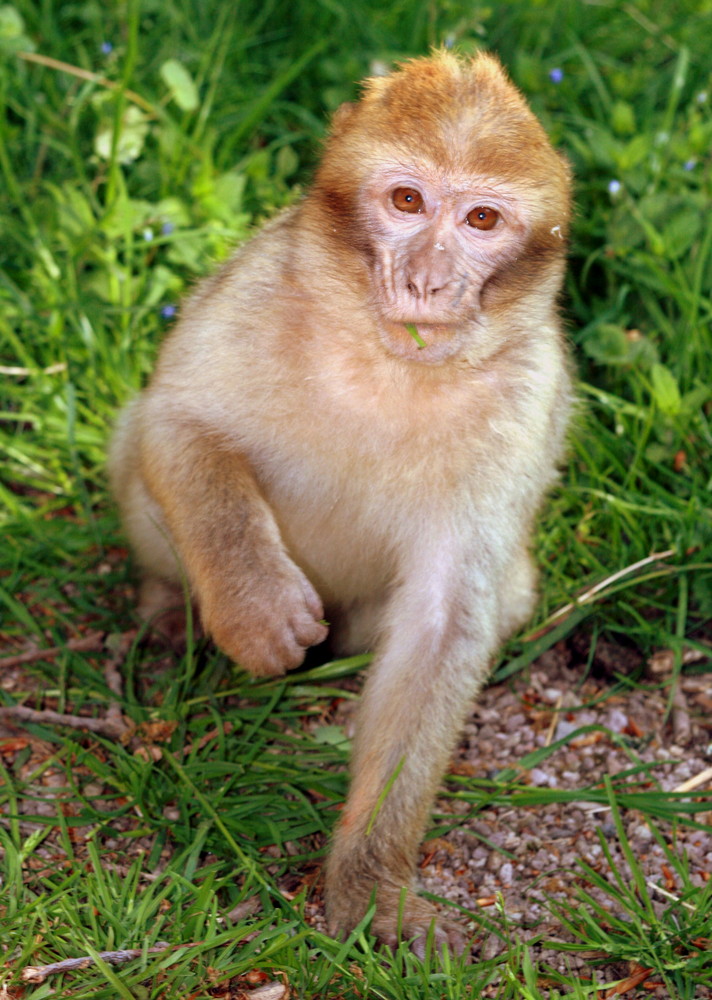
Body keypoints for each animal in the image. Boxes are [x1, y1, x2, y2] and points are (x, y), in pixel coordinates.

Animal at [110, 52, 572, 952]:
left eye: (482, 219)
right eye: (406, 202)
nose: (426, 280)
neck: (388, 362)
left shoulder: (527, 395)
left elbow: (441, 625)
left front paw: (371, 884)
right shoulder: (259, 286)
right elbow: (175, 422)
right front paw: (255, 609)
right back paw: (173, 608)